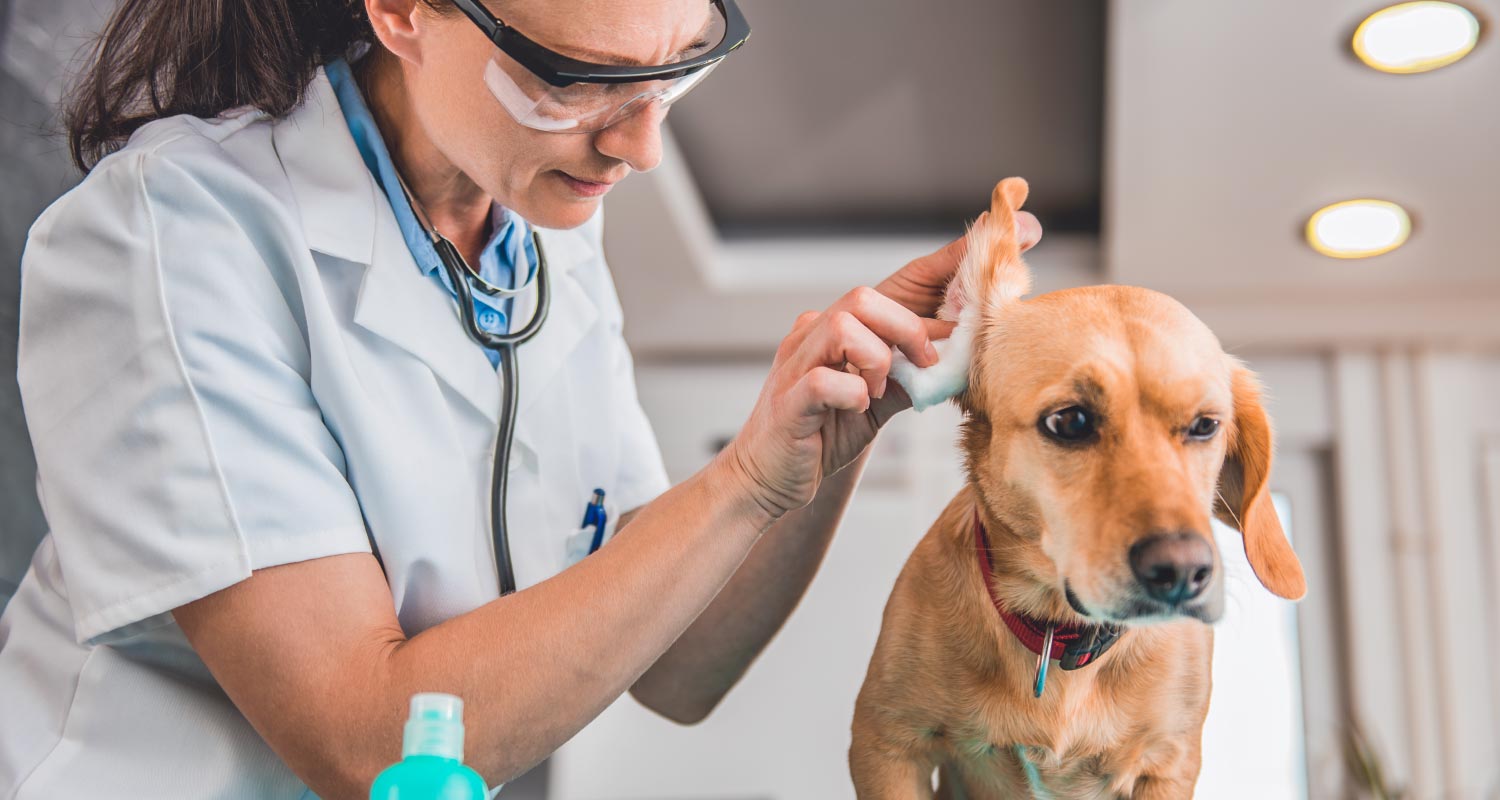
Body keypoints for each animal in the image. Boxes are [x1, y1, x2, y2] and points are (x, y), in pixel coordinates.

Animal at [852, 177, 1308, 792]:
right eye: (1070, 422)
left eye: (1205, 425)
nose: (1182, 573)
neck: (1059, 635)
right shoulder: (886, 744)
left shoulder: (1171, 764)